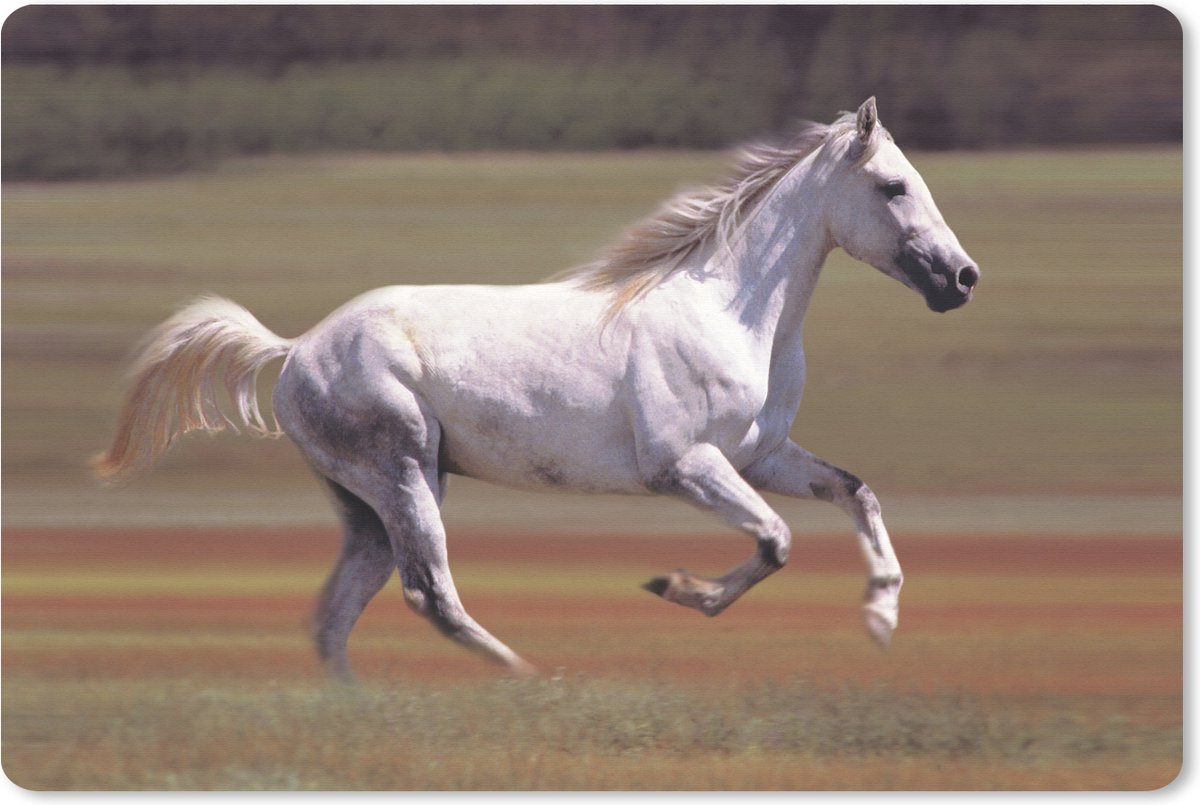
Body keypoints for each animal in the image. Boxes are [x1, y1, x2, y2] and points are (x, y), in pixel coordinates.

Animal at [93, 98, 978, 680]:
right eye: (894, 186)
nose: (962, 278)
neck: (730, 308)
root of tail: (300, 346)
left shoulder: (764, 456)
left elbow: (855, 492)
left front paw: (881, 618)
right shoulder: (686, 467)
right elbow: (775, 541)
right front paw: (674, 586)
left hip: (368, 506)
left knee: (335, 616)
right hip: (405, 475)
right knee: (430, 594)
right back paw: (529, 676)